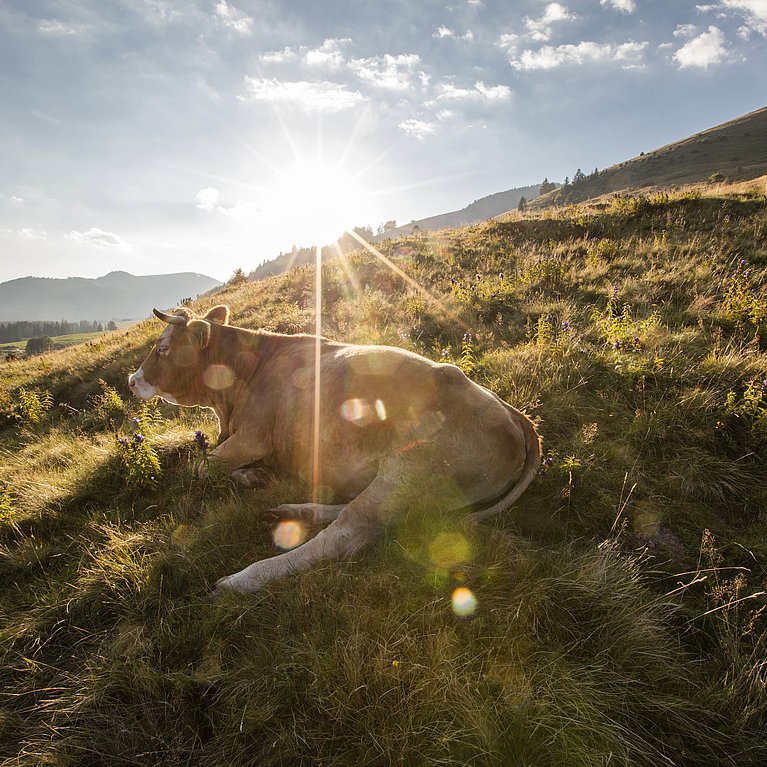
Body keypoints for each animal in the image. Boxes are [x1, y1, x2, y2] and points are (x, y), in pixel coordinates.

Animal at [129, 304, 544, 592]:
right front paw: (255, 476)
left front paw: (248, 476)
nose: (132, 380)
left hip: (410, 470)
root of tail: (516, 416)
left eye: (162, 348)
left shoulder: (252, 435)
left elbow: (200, 467)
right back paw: (291, 510)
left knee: (347, 532)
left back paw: (242, 580)